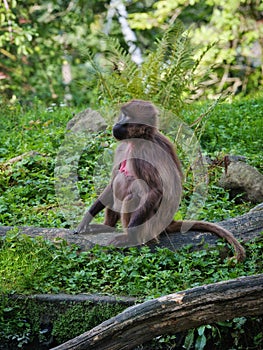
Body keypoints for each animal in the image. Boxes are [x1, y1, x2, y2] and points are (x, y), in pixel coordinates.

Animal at [75, 100, 246, 262]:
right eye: (122, 114)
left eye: (127, 117)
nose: (117, 125)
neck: (138, 140)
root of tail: (168, 222)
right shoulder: (122, 148)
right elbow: (112, 183)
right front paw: (87, 218)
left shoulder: (143, 152)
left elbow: (156, 190)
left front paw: (129, 236)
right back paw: (106, 227)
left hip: (151, 226)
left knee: (132, 196)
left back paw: (130, 238)